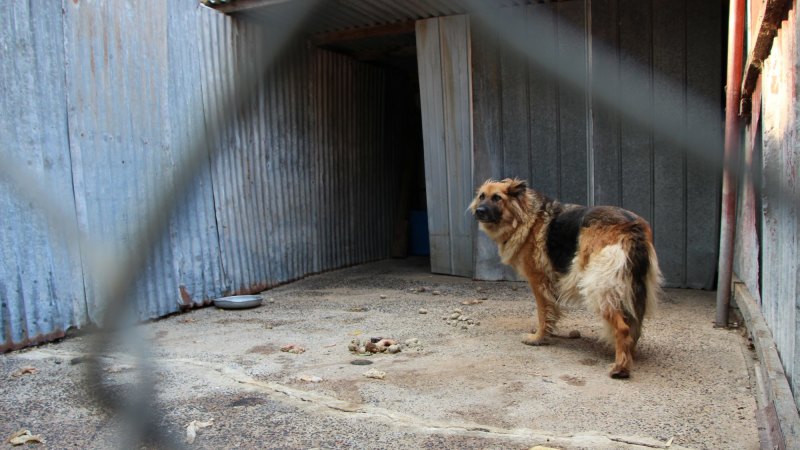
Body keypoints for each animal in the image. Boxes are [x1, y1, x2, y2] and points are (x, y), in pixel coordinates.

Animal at [468, 178, 664, 378]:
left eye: (497, 198)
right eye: (481, 196)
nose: (479, 211)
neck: (525, 216)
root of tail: (632, 226)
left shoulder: (538, 280)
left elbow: (542, 313)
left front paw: (538, 338)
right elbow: (551, 311)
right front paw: (548, 333)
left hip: (598, 286)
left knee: (623, 328)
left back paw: (620, 367)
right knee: (634, 326)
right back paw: (627, 355)